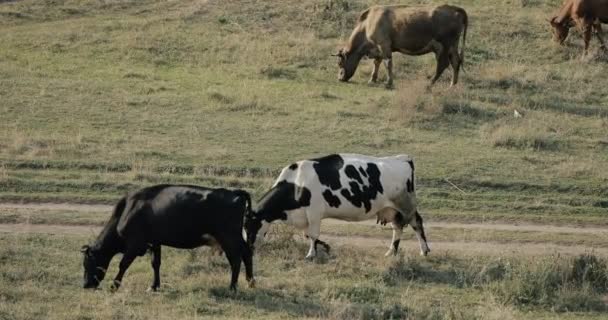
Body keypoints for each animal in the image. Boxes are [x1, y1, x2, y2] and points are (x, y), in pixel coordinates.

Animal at [81, 185, 254, 292]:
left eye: (87, 263)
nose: (85, 285)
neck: (127, 210)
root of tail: (234, 192)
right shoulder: (154, 242)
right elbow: (155, 264)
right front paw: (154, 286)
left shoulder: (135, 244)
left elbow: (123, 264)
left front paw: (114, 286)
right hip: (235, 238)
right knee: (247, 253)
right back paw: (250, 281)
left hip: (228, 237)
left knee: (236, 259)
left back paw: (233, 287)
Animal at [245, 154, 430, 258]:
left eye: (248, 225)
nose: (247, 246)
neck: (297, 183)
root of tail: (402, 158)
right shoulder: (305, 216)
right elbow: (308, 234)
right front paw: (326, 247)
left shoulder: (314, 212)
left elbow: (313, 235)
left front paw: (311, 254)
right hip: (391, 209)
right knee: (398, 228)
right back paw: (391, 252)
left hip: (405, 205)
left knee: (416, 223)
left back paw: (423, 250)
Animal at [332, 5, 470, 87]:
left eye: (340, 63)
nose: (340, 78)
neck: (367, 24)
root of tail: (454, 9)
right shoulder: (378, 49)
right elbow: (377, 63)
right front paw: (372, 79)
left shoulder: (384, 45)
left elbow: (387, 63)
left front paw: (388, 82)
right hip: (452, 46)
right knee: (455, 62)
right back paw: (452, 85)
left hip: (443, 46)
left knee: (443, 64)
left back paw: (429, 84)